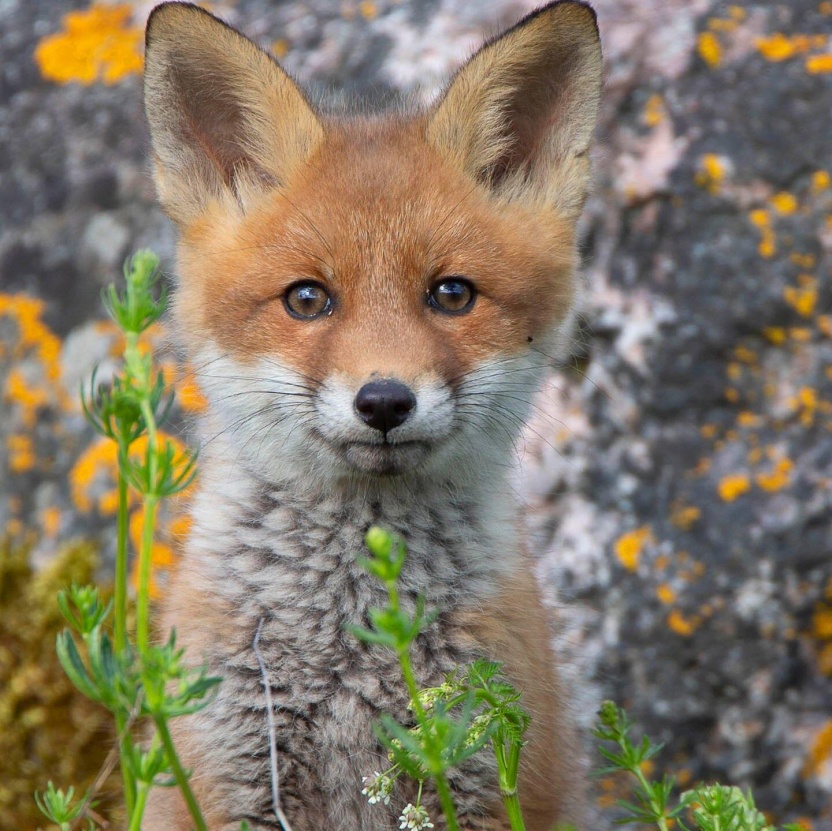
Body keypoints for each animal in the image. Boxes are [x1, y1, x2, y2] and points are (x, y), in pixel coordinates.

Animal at [141, 1, 602, 829]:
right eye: (306, 298)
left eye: (451, 293)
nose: (385, 399)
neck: (349, 642)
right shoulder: (222, 780)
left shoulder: (491, 776)